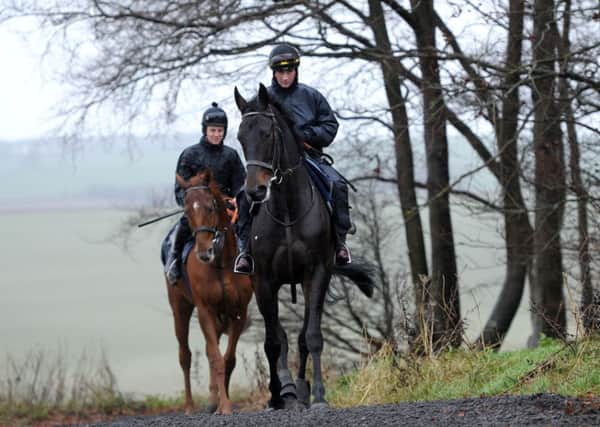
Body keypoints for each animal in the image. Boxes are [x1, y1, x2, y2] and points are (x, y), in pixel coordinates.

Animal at [164, 170, 253, 414]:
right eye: (186, 212)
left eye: (211, 206)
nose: (204, 252)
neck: (221, 264)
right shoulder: (205, 310)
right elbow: (216, 358)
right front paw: (225, 406)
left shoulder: (238, 312)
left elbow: (228, 359)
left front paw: (221, 403)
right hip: (180, 308)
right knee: (185, 356)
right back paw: (190, 407)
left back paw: (212, 400)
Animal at [234, 84, 376, 412]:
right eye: (240, 137)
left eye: (267, 133)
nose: (255, 190)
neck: (287, 208)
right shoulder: (263, 281)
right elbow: (272, 342)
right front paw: (275, 397)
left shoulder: (317, 273)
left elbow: (311, 337)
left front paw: (319, 396)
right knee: (281, 337)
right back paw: (286, 390)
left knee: (300, 337)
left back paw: (299, 389)